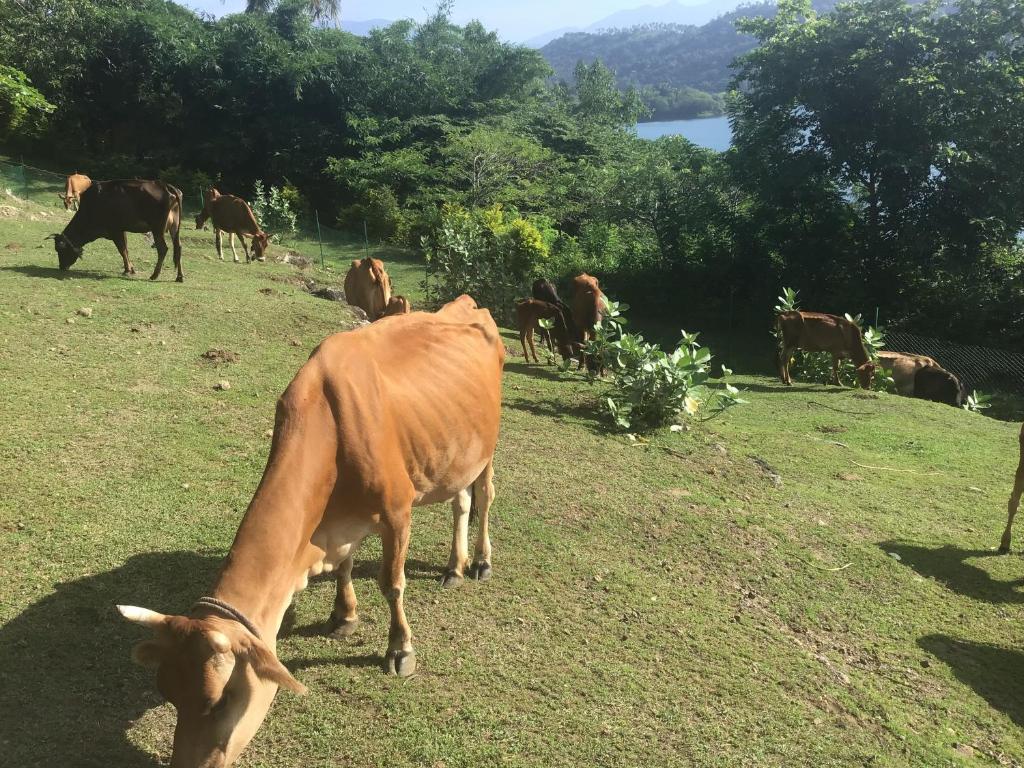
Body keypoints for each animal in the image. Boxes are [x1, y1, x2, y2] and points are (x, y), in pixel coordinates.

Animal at [47, 180, 184, 282]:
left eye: (60, 249)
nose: (61, 267)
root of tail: (165, 186)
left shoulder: (115, 230)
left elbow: (122, 250)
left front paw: (128, 270)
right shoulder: (122, 230)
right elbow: (126, 250)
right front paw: (130, 268)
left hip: (157, 229)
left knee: (163, 249)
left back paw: (155, 275)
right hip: (174, 228)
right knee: (178, 248)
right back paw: (179, 277)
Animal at [117, 294, 503, 768]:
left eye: (222, 700)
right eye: (168, 694)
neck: (330, 424)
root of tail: (467, 304)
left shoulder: (397, 511)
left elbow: (392, 584)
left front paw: (400, 649)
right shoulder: (339, 523)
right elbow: (344, 567)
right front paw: (344, 615)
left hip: (488, 447)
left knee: (483, 496)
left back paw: (480, 561)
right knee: (461, 501)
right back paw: (453, 566)